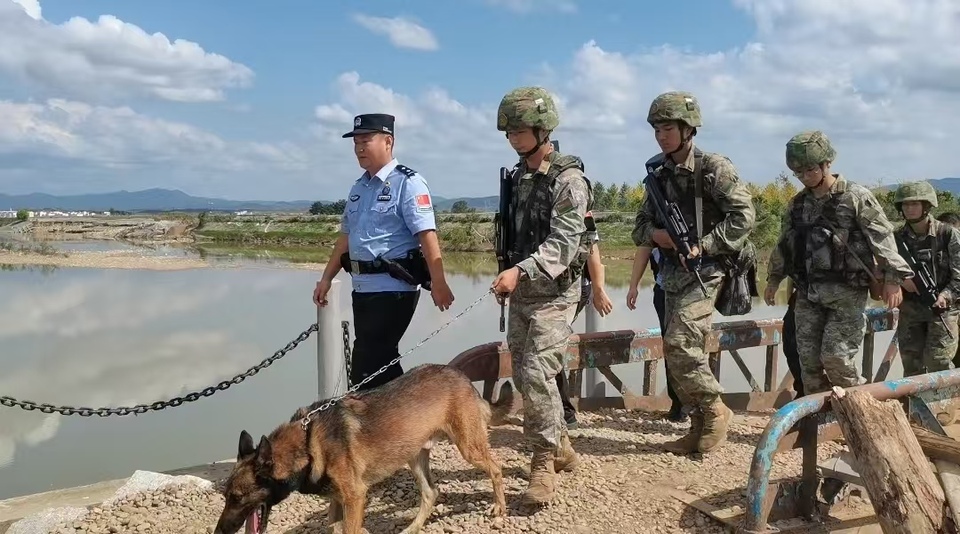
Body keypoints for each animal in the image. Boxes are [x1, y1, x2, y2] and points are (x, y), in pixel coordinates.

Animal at [214, 364, 512, 534]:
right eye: (226, 497)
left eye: (238, 498)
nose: (218, 532)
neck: (307, 444)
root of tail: (463, 377)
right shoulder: (338, 500)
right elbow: (334, 529)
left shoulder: (354, 497)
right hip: (414, 456)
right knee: (431, 492)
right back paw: (412, 528)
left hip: (468, 446)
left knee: (496, 468)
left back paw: (499, 508)